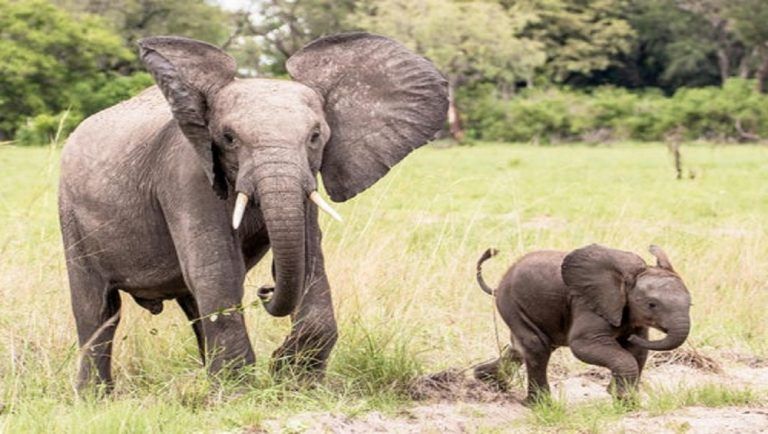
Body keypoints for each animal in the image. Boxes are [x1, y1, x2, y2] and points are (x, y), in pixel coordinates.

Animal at [61, 34, 450, 390]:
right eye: (229, 138)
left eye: (315, 136)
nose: (265, 288)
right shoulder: (186, 177)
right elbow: (218, 269)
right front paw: (239, 393)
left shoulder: (307, 180)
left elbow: (310, 261)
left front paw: (293, 381)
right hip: (70, 214)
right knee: (98, 311)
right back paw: (95, 398)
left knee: (192, 306)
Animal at [474, 244, 688, 404]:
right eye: (652, 304)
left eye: (691, 304)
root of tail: (499, 284)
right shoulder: (588, 304)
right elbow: (582, 345)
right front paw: (621, 397)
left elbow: (638, 351)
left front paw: (624, 400)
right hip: (511, 303)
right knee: (536, 346)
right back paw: (539, 405)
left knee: (522, 348)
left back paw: (485, 380)